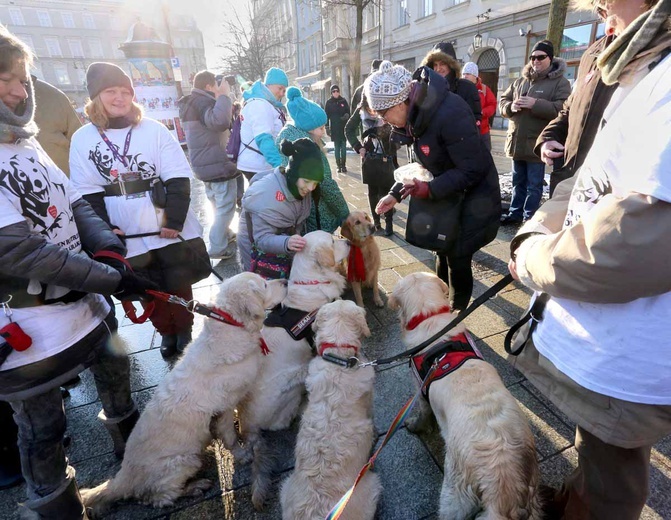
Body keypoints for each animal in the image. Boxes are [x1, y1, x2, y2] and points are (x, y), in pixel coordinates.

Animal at [80, 272, 288, 512]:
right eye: (264, 284)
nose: (286, 281)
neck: (232, 327)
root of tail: (123, 477)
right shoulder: (225, 405)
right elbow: (230, 435)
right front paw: (243, 454)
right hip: (185, 461)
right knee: (158, 498)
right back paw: (195, 486)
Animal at [388, 272, 540, 520]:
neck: (430, 318)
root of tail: (502, 484)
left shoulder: (420, 389)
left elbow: (423, 413)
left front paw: (416, 425)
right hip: (533, 497)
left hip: (455, 492)